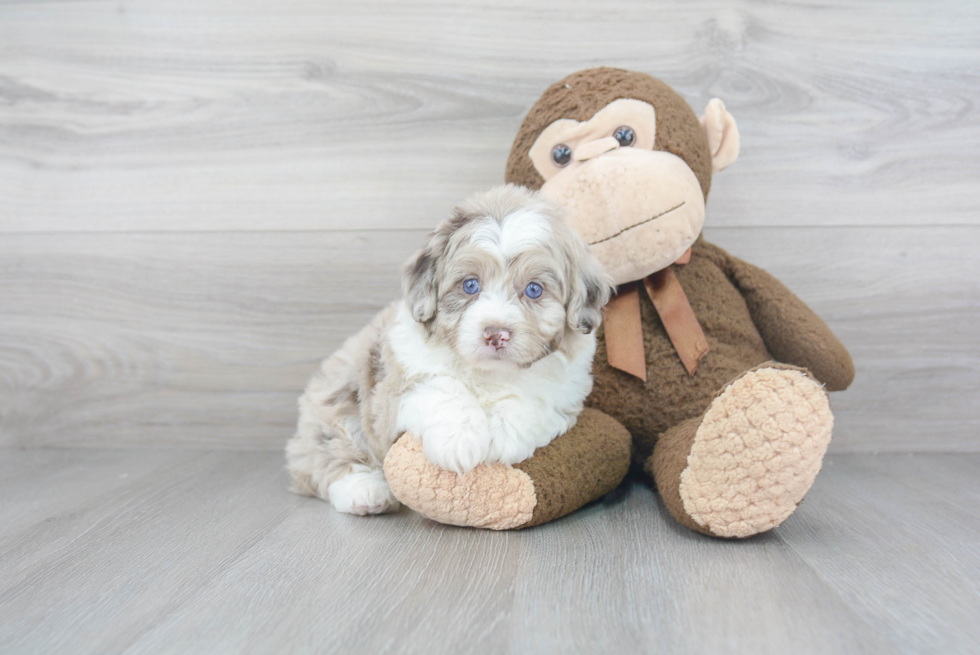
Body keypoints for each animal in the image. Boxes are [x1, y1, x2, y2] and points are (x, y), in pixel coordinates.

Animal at [280, 182, 612, 516]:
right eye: (470, 285)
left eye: (534, 289)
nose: (496, 334)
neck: (488, 372)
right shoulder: (397, 381)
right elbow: (442, 387)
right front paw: (459, 440)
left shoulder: (567, 390)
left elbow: (534, 397)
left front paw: (505, 434)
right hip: (338, 399)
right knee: (329, 449)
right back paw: (364, 491)